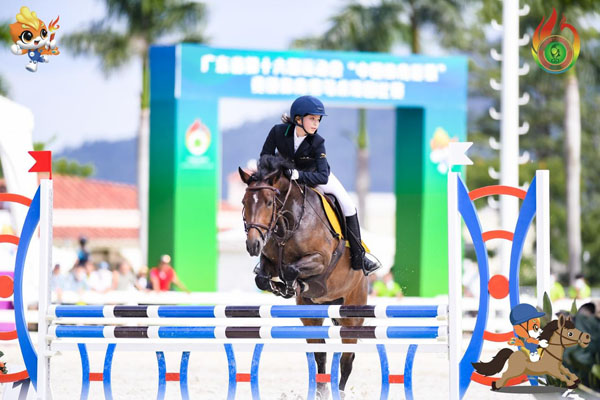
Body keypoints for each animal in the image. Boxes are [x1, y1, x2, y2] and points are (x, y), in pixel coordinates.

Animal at [239, 154, 369, 398]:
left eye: (269, 202)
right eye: (244, 202)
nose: (253, 245)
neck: (286, 224)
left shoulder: (321, 259)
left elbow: (291, 270)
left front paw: (290, 284)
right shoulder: (268, 260)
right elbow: (262, 278)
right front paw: (281, 287)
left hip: (352, 314)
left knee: (347, 358)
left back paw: (339, 392)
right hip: (312, 316)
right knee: (320, 354)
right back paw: (320, 392)